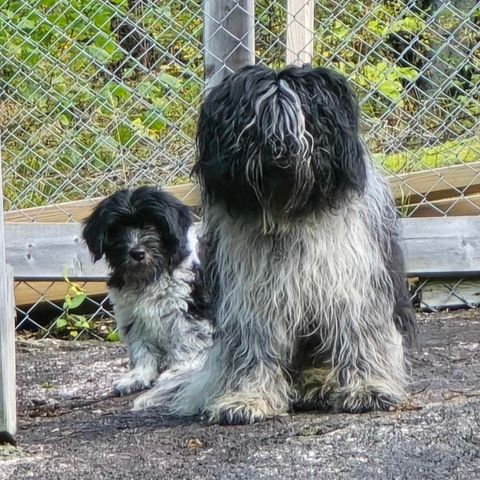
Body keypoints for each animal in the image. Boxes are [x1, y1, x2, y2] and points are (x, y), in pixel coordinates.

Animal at [82, 186, 212, 396]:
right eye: (118, 228)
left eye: (152, 225)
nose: (137, 253)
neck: (150, 276)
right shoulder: (135, 317)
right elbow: (142, 348)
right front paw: (138, 376)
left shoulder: (187, 311)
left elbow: (185, 342)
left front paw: (178, 371)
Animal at [132, 63, 416, 424]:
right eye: (255, 123)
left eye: (302, 119)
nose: (280, 150)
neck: (287, 215)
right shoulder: (252, 297)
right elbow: (254, 346)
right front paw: (248, 399)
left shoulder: (353, 283)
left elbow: (360, 333)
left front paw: (368, 389)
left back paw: (319, 385)